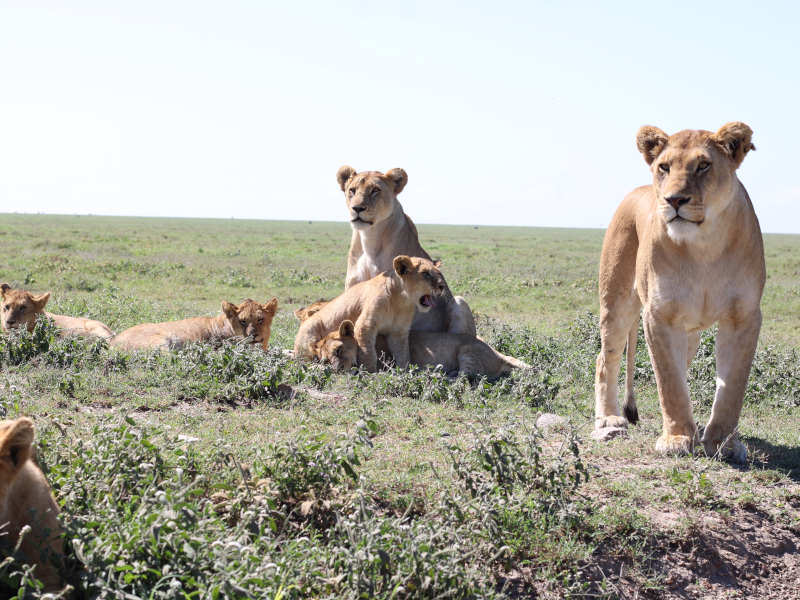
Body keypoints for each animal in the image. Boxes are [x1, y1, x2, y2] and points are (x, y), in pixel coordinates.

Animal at [294, 255, 444, 372]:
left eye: (439, 273)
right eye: (425, 273)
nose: (442, 286)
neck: (401, 301)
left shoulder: (398, 332)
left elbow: (403, 354)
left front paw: (406, 372)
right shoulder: (365, 325)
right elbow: (368, 353)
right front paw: (370, 373)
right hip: (310, 338)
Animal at [336, 166, 476, 336]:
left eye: (375, 190)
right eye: (352, 190)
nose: (357, 208)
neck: (369, 238)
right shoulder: (353, 287)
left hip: (460, 302)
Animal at [596, 119, 764, 462]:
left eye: (703, 165)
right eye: (664, 167)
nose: (674, 200)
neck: (705, 246)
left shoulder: (744, 317)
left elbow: (732, 386)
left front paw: (723, 442)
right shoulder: (659, 315)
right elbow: (669, 382)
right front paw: (677, 438)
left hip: (691, 333)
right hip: (616, 303)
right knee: (605, 359)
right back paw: (608, 418)